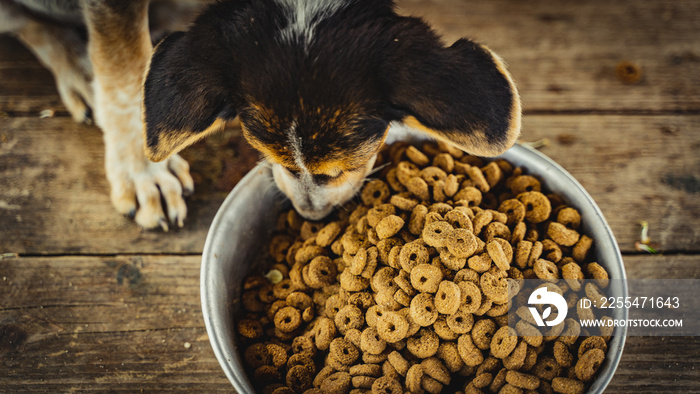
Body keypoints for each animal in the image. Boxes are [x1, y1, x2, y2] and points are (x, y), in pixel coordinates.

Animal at [1, 0, 520, 226]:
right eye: (274, 158)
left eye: (338, 170)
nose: (311, 217)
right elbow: (123, 61)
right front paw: (142, 171)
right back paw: (79, 70)